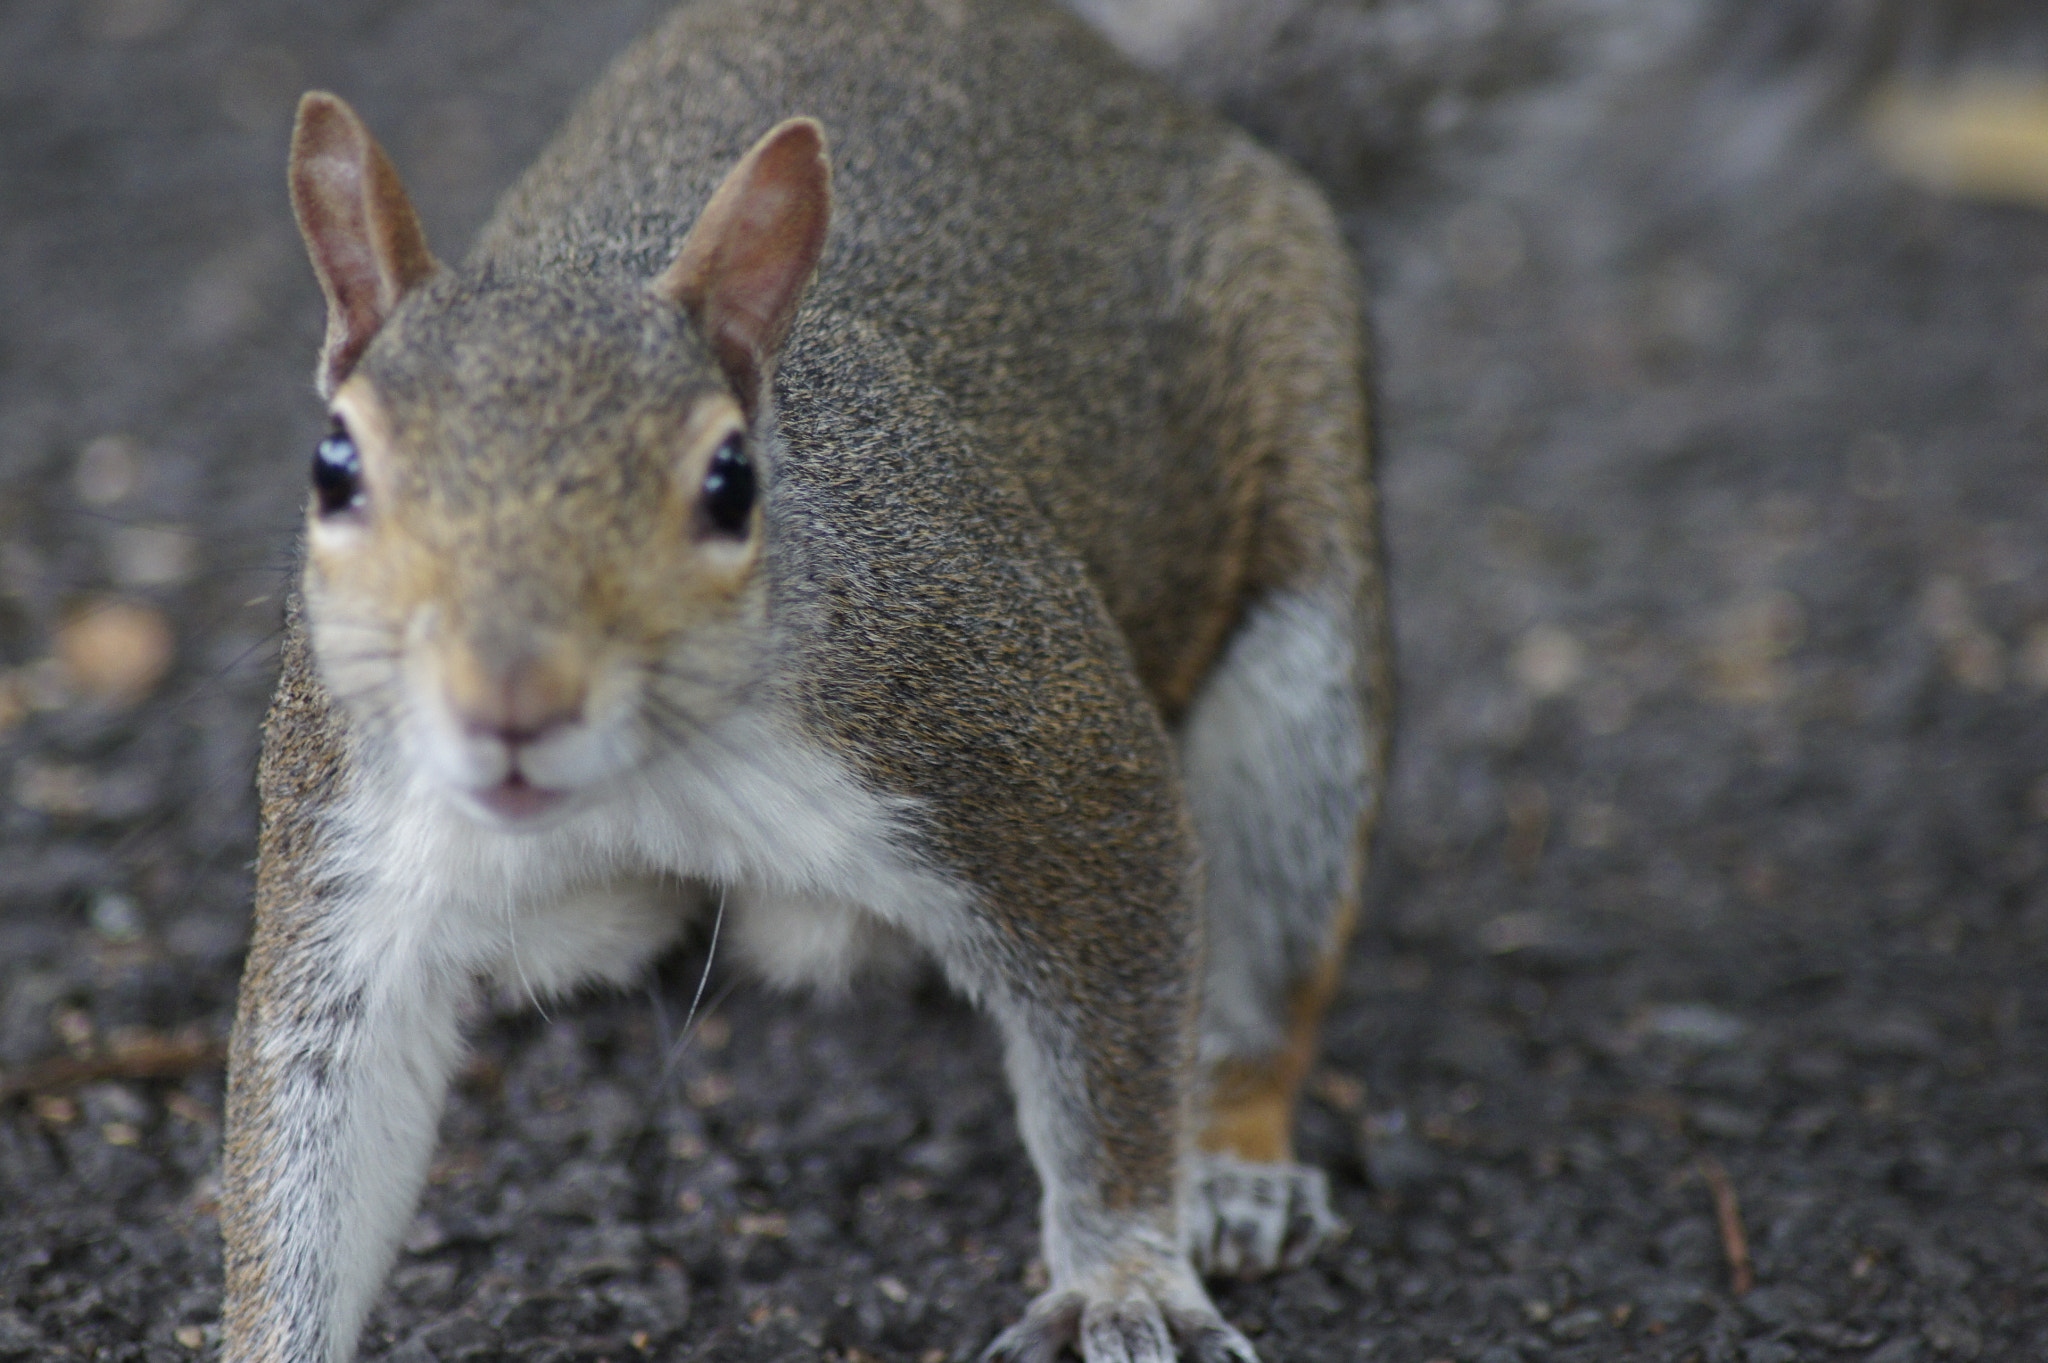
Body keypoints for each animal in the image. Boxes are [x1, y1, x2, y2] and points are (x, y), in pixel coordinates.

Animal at [220, 2, 1392, 1358]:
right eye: (332, 465)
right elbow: (316, 1119)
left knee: (1267, 945)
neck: (652, 769)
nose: (510, 703)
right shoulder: (353, 835)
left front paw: (1123, 1280)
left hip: (1302, 605)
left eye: (732, 482)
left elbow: (1118, 1019)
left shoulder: (1030, 732)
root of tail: (1108, 70)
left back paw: (1240, 1163)